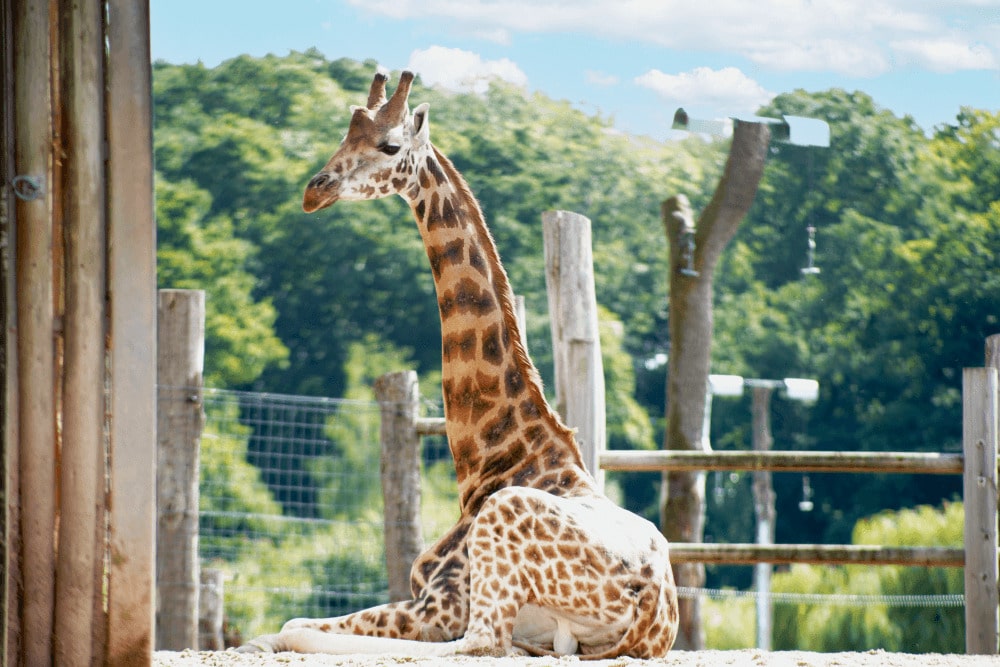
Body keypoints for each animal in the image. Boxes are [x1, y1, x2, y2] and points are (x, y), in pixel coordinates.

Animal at [242, 70, 680, 660]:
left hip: (495, 553)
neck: (494, 462)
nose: (316, 189)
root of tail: (650, 606)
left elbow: (290, 625)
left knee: (479, 643)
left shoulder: (439, 603)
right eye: (344, 134)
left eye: (390, 145)